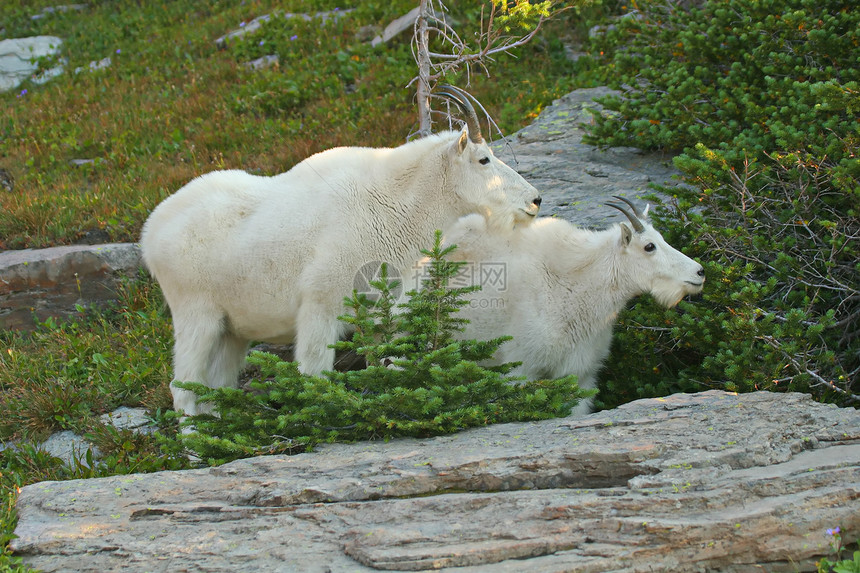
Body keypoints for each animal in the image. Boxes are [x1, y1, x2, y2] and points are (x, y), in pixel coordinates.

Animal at [144, 87, 540, 414]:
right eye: (483, 159)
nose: (535, 200)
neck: (393, 205)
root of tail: (151, 232)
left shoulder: (380, 309)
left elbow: (386, 364)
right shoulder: (321, 304)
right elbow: (314, 375)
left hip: (232, 331)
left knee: (216, 387)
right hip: (196, 313)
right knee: (183, 388)